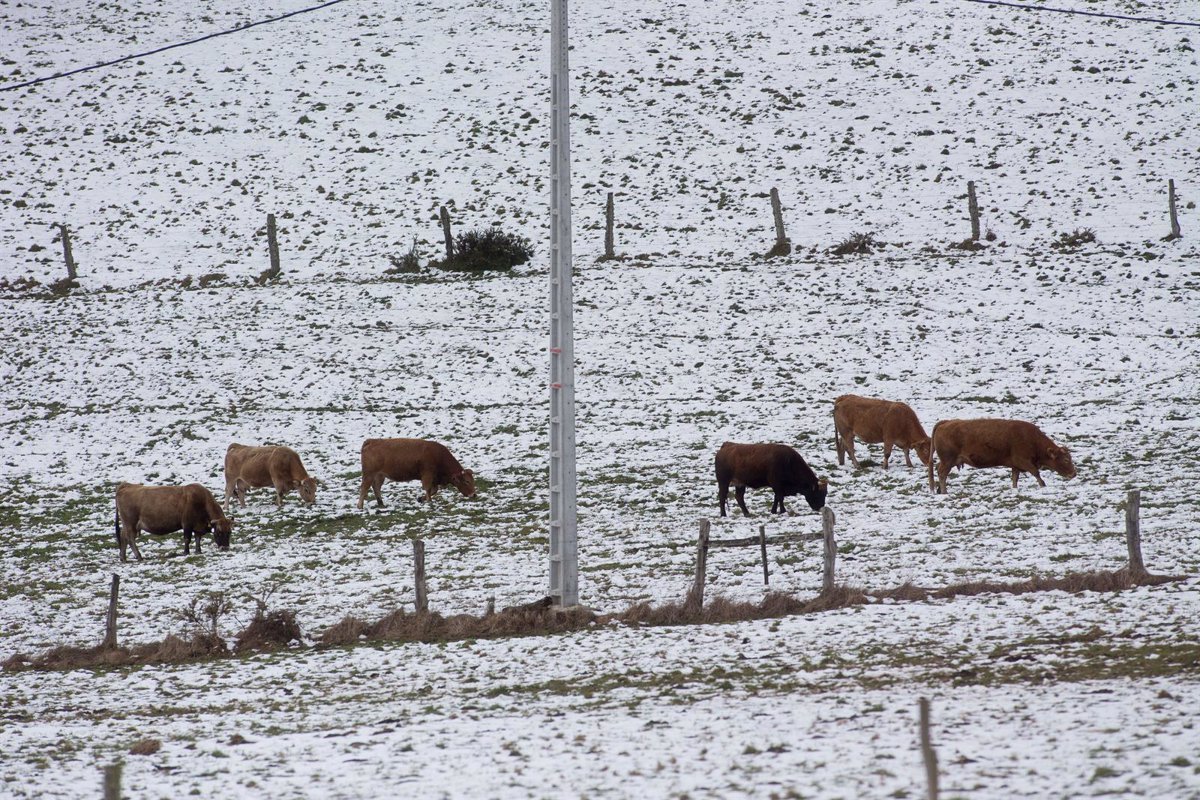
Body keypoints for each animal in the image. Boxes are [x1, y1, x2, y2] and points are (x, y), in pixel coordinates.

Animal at [926, 419, 1080, 494]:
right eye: (1066, 459)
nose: (1074, 473)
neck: (1031, 438)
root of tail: (946, 422)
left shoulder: (1015, 465)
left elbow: (1015, 479)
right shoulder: (1024, 462)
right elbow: (1037, 474)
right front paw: (1043, 486)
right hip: (948, 460)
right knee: (942, 473)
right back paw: (944, 491)